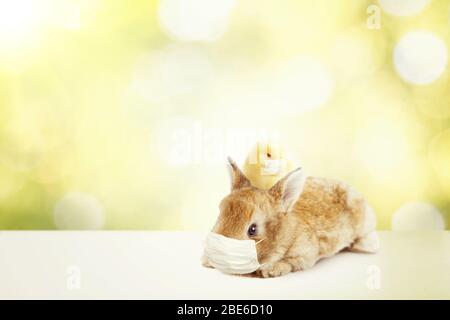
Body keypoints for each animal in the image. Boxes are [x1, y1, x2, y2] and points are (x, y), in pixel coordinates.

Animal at [202, 158, 378, 278]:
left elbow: (291, 263)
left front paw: (272, 270)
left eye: (252, 229)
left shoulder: (305, 255)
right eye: (219, 215)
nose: (217, 255)